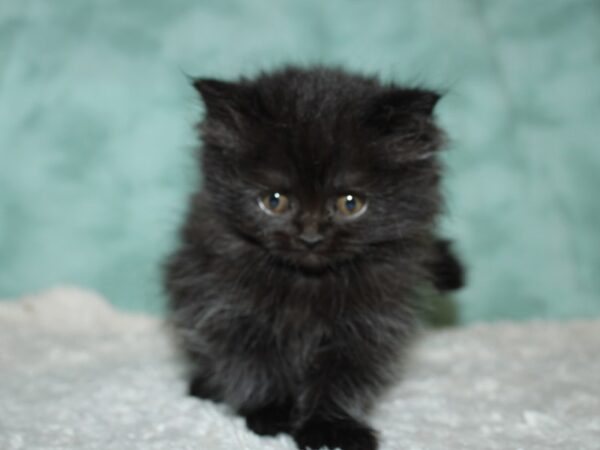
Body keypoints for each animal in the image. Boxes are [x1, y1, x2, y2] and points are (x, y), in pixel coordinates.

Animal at [164, 64, 464, 450]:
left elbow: (342, 378)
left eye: (350, 203)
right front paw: (272, 413)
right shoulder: (225, 306)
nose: (310, 237)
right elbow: (251, 364)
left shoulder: (370, 325)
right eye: (274, 200)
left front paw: (330, 427)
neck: (306, 285)